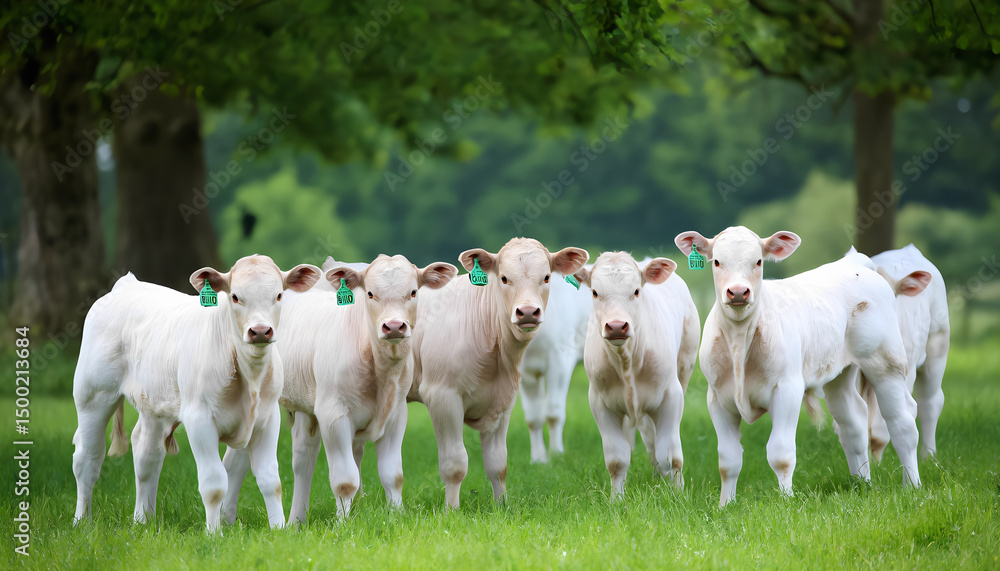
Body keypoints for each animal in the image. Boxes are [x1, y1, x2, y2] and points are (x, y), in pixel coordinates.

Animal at [71, 255, 321, 532]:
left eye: (278, 295)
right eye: (235, 296)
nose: (259, 331)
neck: (249, 375)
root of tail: (126, 285)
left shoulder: (267, 418)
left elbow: (270, 479)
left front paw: (279, 529)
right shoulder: (199, 419)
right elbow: (214, 483)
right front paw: (214, 534)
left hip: (154, 406)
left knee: (147, 455)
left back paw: (143, 520)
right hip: (93, 397)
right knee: (87, 458)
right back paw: (81, 522)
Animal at [220, 254, 457, 523]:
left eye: (413, 292)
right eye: (370, 293)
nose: (395, 326)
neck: (380, 370)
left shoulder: (396, 415)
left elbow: (393, 475)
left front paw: (396, 517)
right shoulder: (333, 415)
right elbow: (345, 480)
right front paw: (343, 525)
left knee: (299, 458)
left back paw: (289, 521)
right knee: (239, 461)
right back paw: (229, 519)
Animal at [518, 268, 592, 463]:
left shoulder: (561, 359)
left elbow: (553, 413)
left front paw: (557, 455)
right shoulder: (524, 371)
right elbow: (533, 418)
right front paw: (538, 460)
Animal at [571, 253, 699, 497]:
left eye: (636, 291)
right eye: (595, 292)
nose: (616, 326)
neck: (626, 360)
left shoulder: (671, 396)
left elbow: (671, 455)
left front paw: (677, 495)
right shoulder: (600, 403)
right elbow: (617, 460)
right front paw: (616, 499)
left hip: (684, 368)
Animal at [674, 227, 921, 507]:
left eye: (758, 261)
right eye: (716, 261)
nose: (737, 292)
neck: (739, 340)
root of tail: (854, 262)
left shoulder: (787, 390)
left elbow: (780, 454)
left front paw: (785, 501)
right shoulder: (717, 398)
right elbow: (728, 460)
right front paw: (726, 504)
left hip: (885, 364)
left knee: (902, 422)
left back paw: (912, 487)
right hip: (839, 375)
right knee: (853, 422)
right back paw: (862, 483)